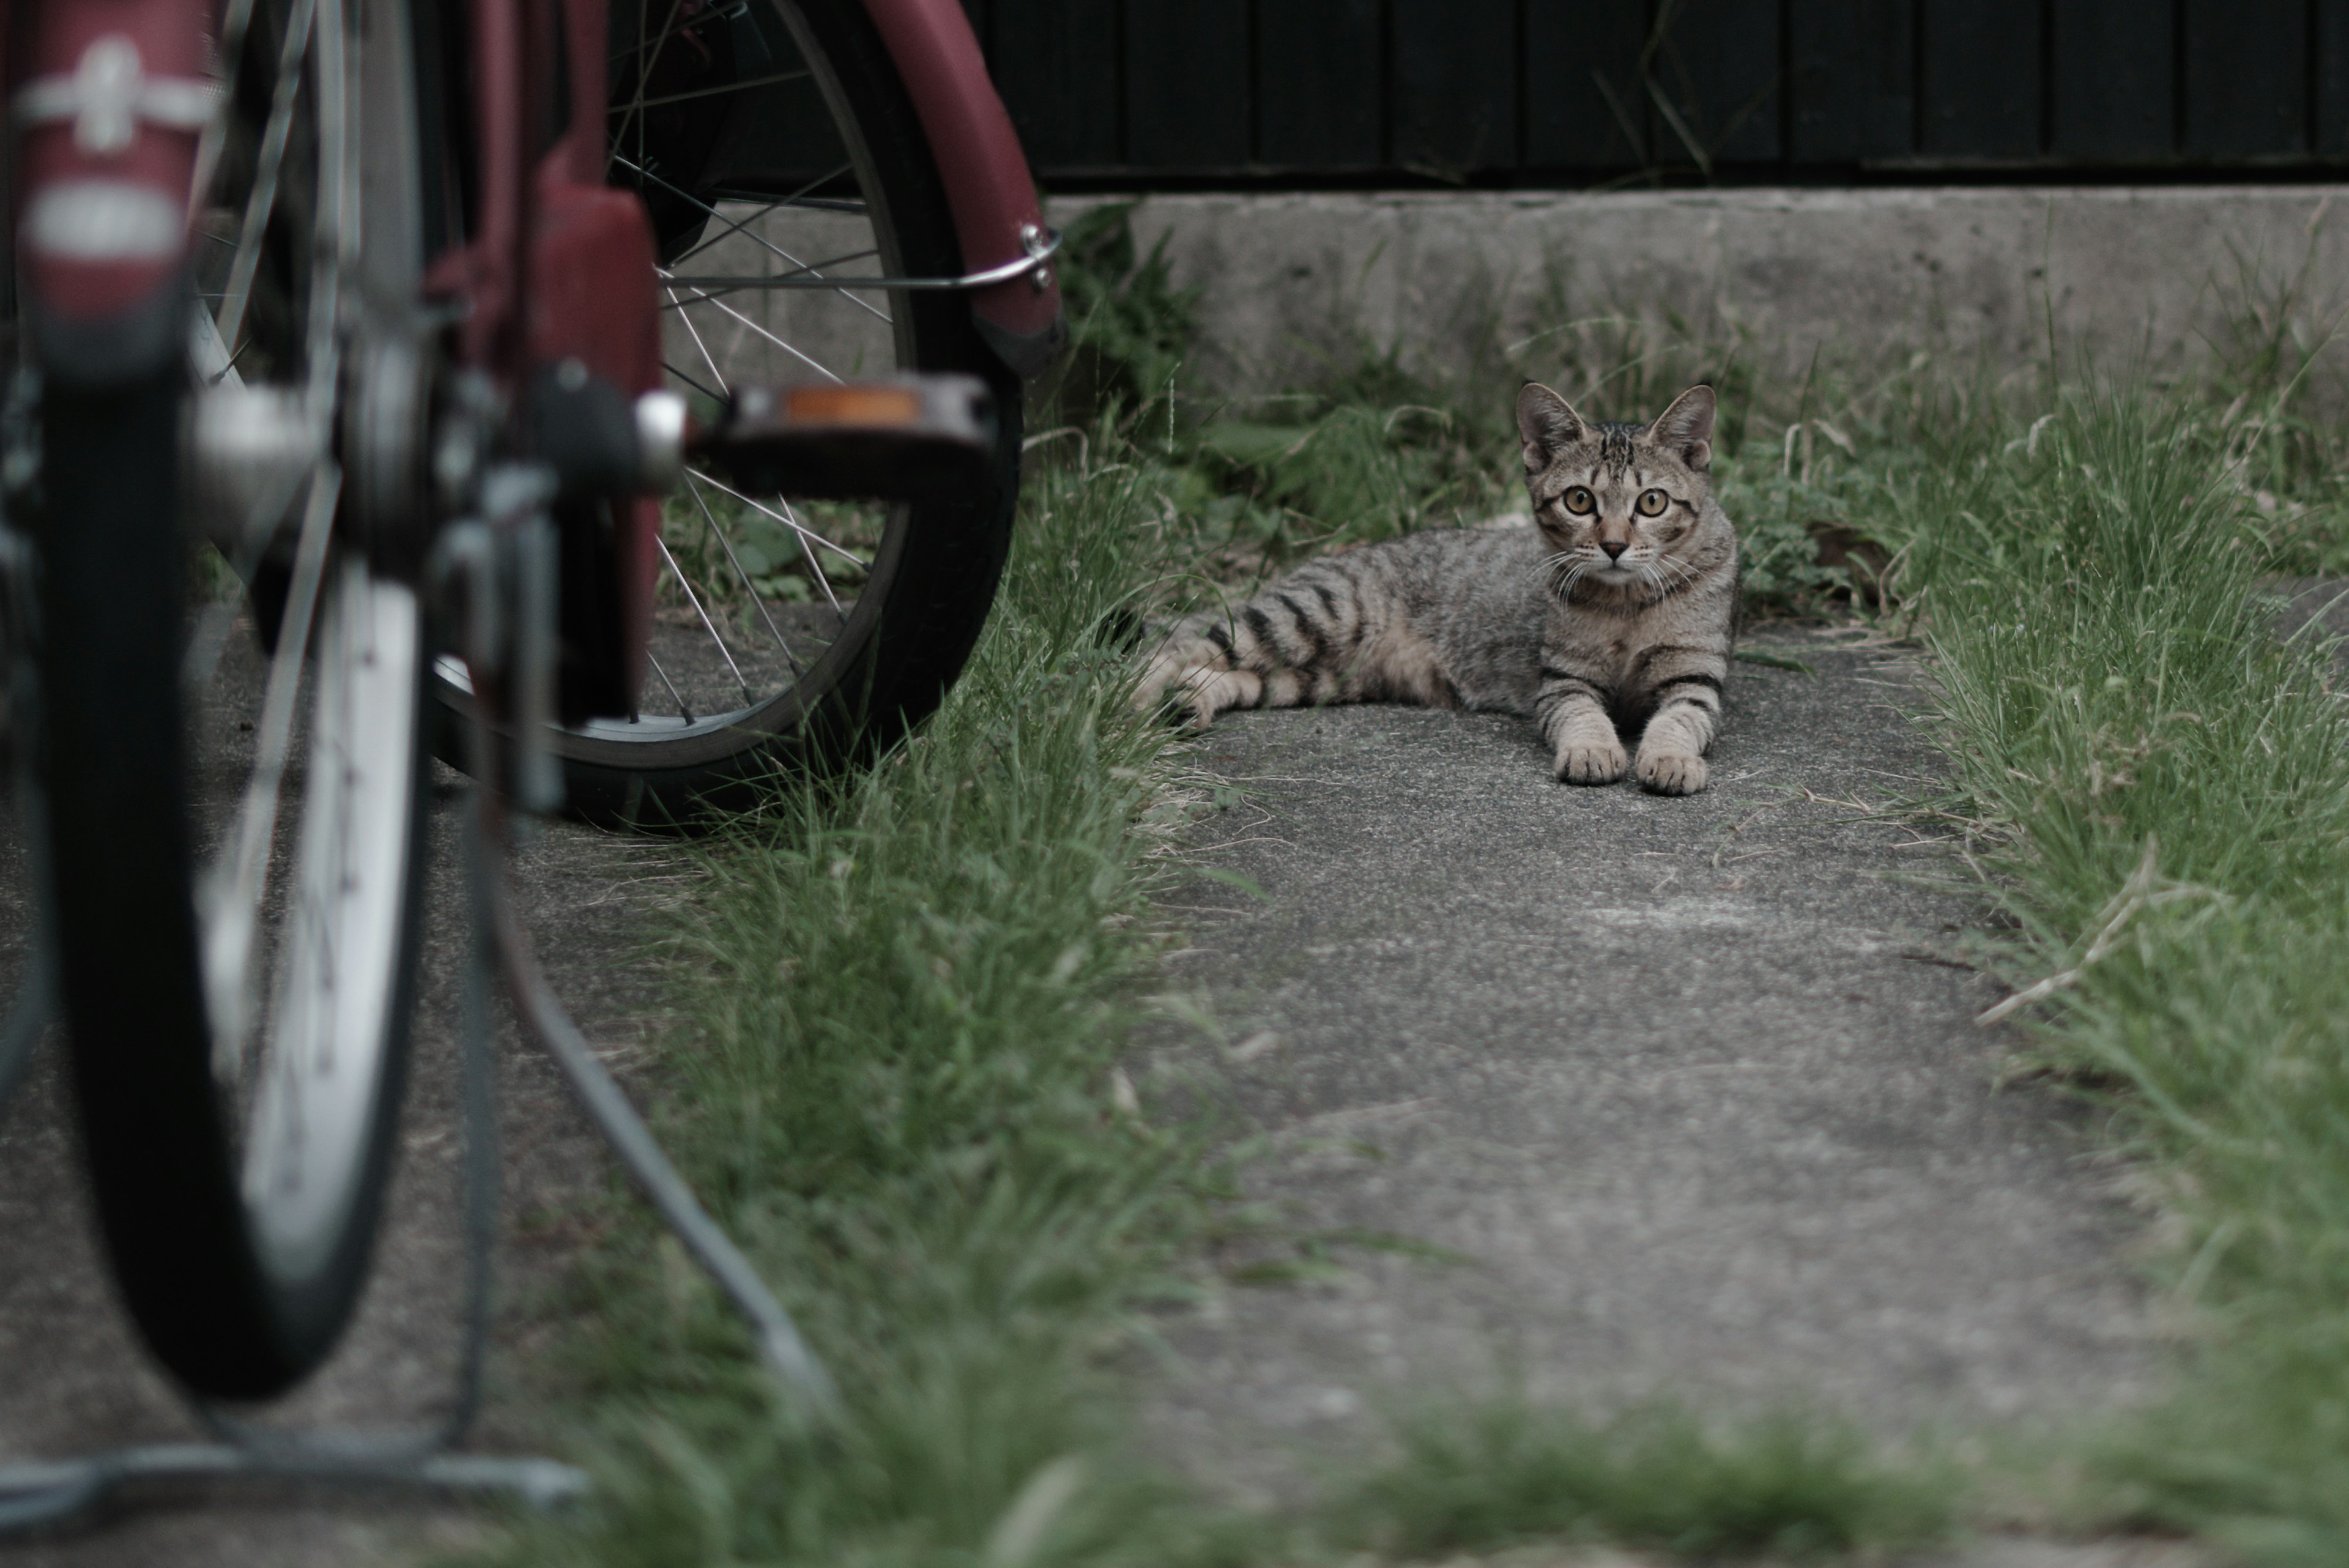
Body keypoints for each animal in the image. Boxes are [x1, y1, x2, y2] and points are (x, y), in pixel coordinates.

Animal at [1137, 381, 1747, 799]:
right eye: (1580, 501)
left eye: (1652, 503)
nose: (1616, 545)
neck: (1627, 606)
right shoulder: (1563, 680)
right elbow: (1583, 716)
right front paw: (1594, 748)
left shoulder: (1695, 678)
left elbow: (1678, 720)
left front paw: (1671, 759)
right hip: (1310, 616)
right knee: (1177, 647)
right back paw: (1132, 699)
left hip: (1319, 677)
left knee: (1228, 674)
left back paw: (1189, 702)